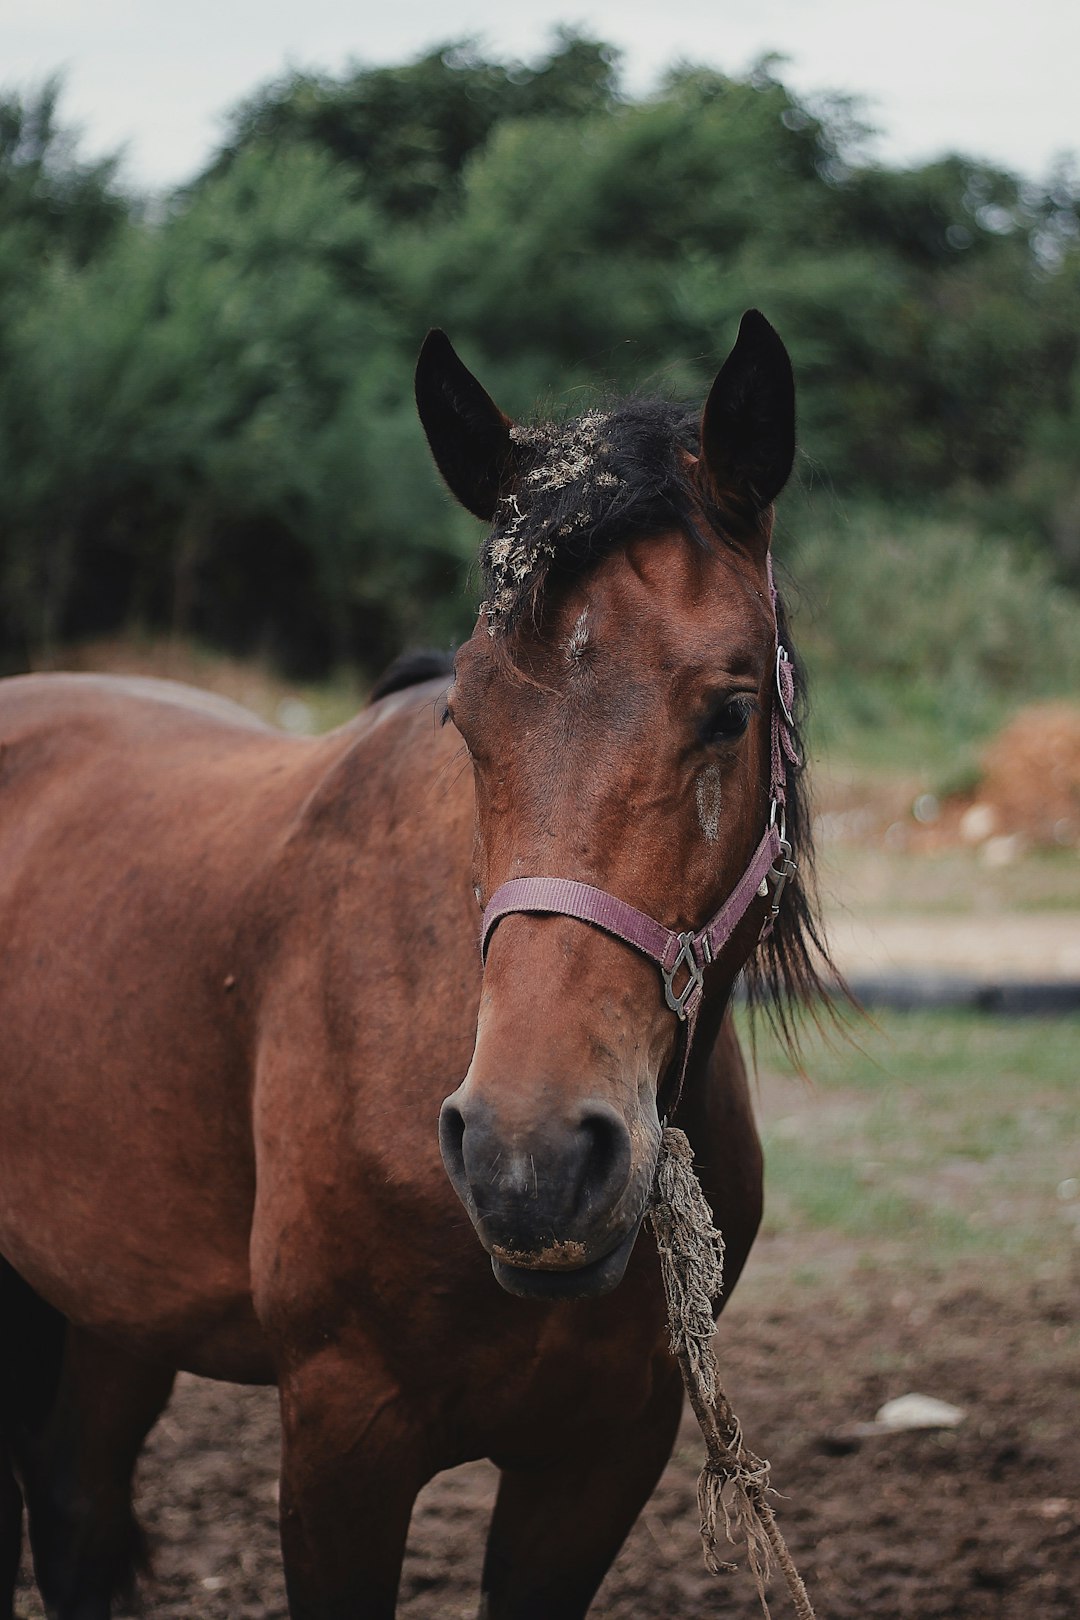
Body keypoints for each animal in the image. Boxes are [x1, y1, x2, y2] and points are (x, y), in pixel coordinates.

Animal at [0, 315, 829, 1620]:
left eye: (733, 711)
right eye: (467, 721)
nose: (530, 1160)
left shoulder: (599, 1459)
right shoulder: (344, 1434)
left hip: (109, 1308)